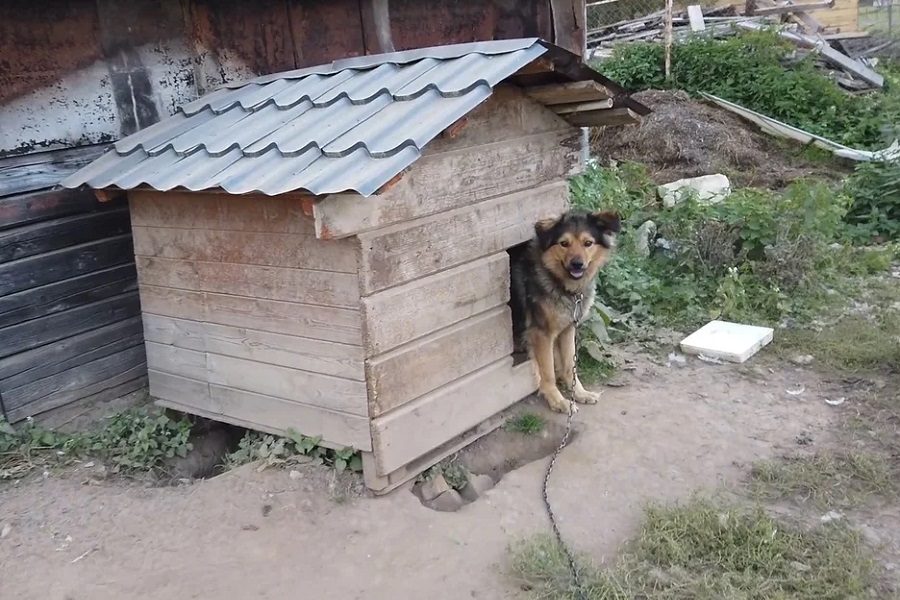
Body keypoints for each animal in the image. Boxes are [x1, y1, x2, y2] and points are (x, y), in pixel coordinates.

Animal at [510, 210, 624, 412]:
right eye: (564, 243)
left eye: (588, 243)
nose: (577, 264)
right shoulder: (542, 334)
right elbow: (548, 372)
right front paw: (558, 400)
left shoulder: (568, 329)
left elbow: (571, 365)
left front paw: (579, 393)